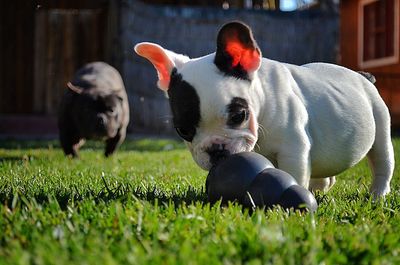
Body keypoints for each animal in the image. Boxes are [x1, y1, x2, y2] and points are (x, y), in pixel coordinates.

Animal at [134, 21, 394, 196]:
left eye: (239, 115)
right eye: (183, 131)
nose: (216, 150)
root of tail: (363, 76)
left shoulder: (293, 149)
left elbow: (294, 173)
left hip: (380, 126)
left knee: (382, 162)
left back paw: (377, 195)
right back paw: (321, 187)